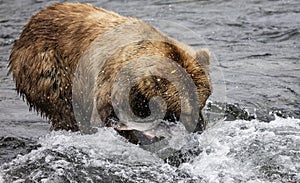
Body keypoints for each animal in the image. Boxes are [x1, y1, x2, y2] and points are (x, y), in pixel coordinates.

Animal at [8, 1, 211, 144]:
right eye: (186, 108)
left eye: (203, 101)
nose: (199, 127)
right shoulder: (112, 82)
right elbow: (105, 116)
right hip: (47, 67)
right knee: (64, 107)